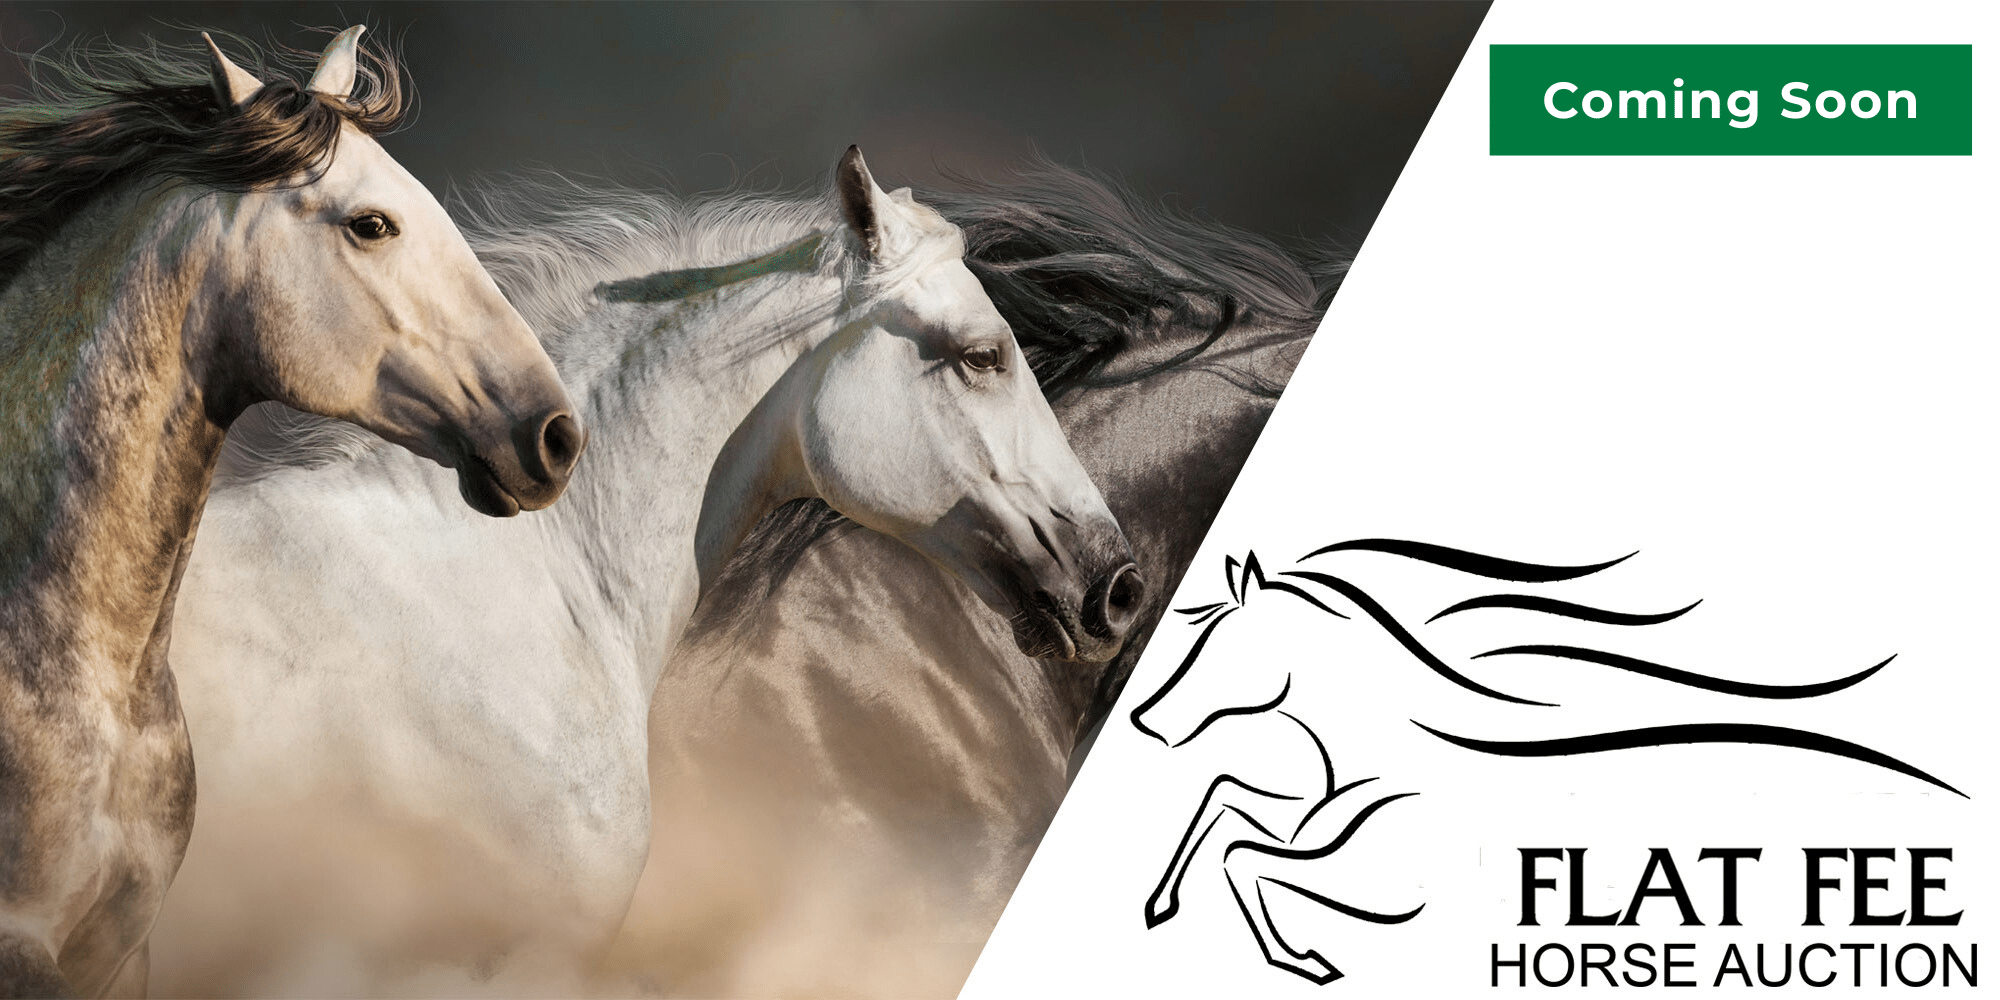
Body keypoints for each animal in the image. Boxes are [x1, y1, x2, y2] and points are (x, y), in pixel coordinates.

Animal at [1127, 541, 1966, 986]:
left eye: (1220, 647)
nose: (1144, 718)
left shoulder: (1390, 880)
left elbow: (1242, 853)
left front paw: (1299, 958)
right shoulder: (1315, 823)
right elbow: (1224, 803)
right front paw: (1164, 904)